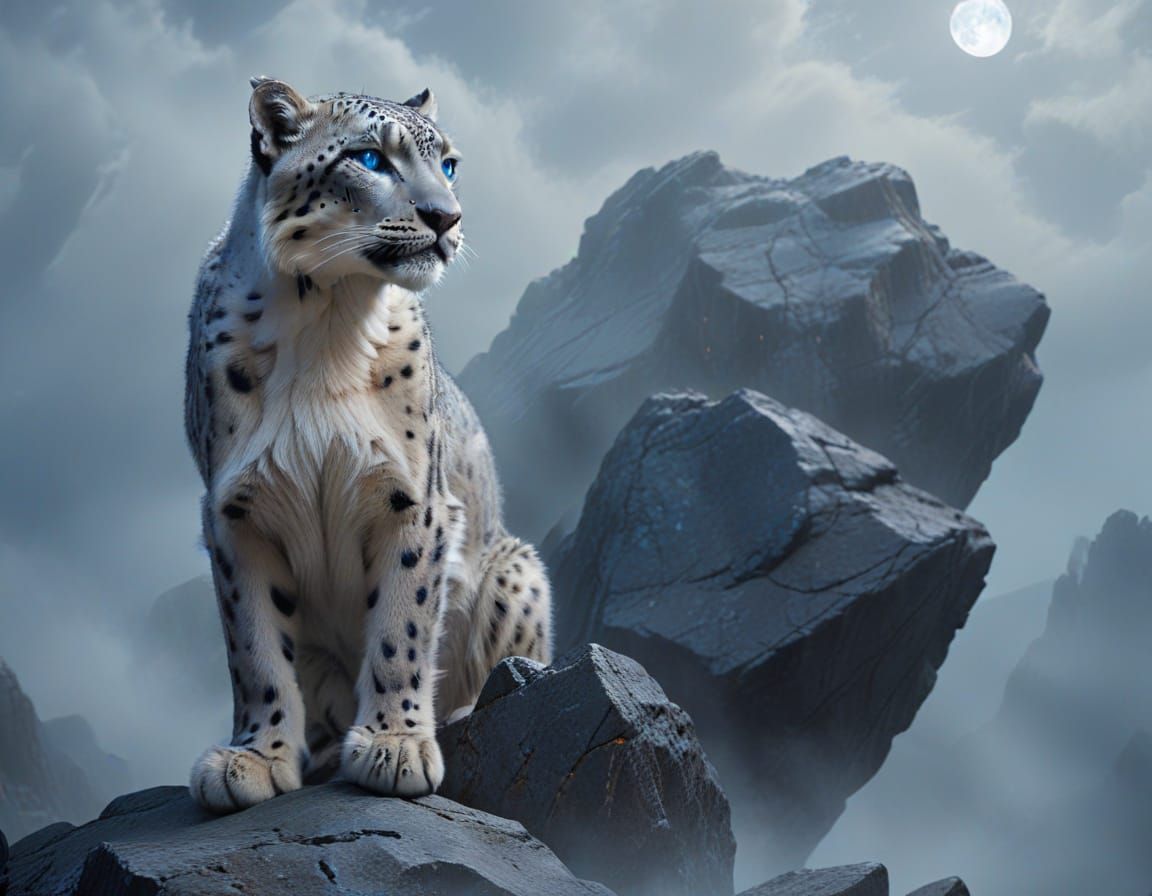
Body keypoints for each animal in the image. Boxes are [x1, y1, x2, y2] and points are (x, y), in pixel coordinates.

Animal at [183, 77, 552, 812]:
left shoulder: (413, 502)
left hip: (516, 569)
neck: (326, 323)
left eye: (448, 164)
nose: (446, 217)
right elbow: (255, 646)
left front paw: (394, 745)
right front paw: (254, 758)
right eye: (371, 159)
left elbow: (401, 624)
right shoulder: (235, 512)